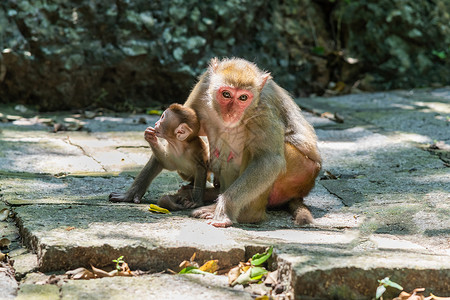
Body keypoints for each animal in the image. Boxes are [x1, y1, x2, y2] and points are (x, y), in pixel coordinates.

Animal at [185, 58, 322, 227]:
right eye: (226, 94)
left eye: (243, 98)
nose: (232, 113)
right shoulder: (204, 84)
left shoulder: (263, 107)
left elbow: (269, 160)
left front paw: (225, 207)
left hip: (302, 172)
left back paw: (247, 215)